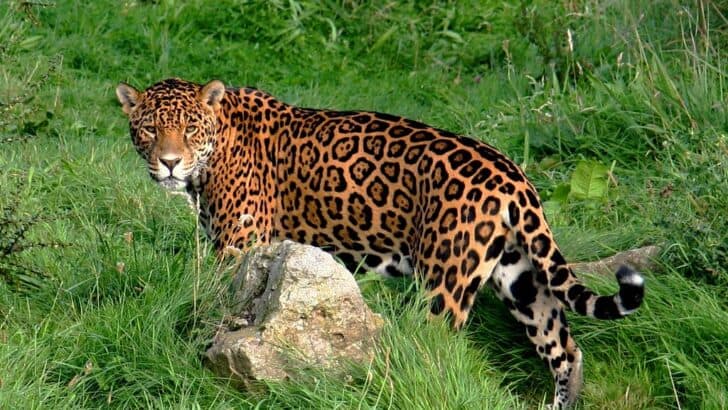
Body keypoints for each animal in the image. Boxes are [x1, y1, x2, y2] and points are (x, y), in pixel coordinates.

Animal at [116, 78, 644, 408]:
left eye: (189, 129)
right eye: (150, 128)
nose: (169, 163)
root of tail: (513, 177)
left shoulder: (238, 247)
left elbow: (217, 306)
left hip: (444, 280)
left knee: (436, 351)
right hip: (521, 277)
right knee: (566, 350)